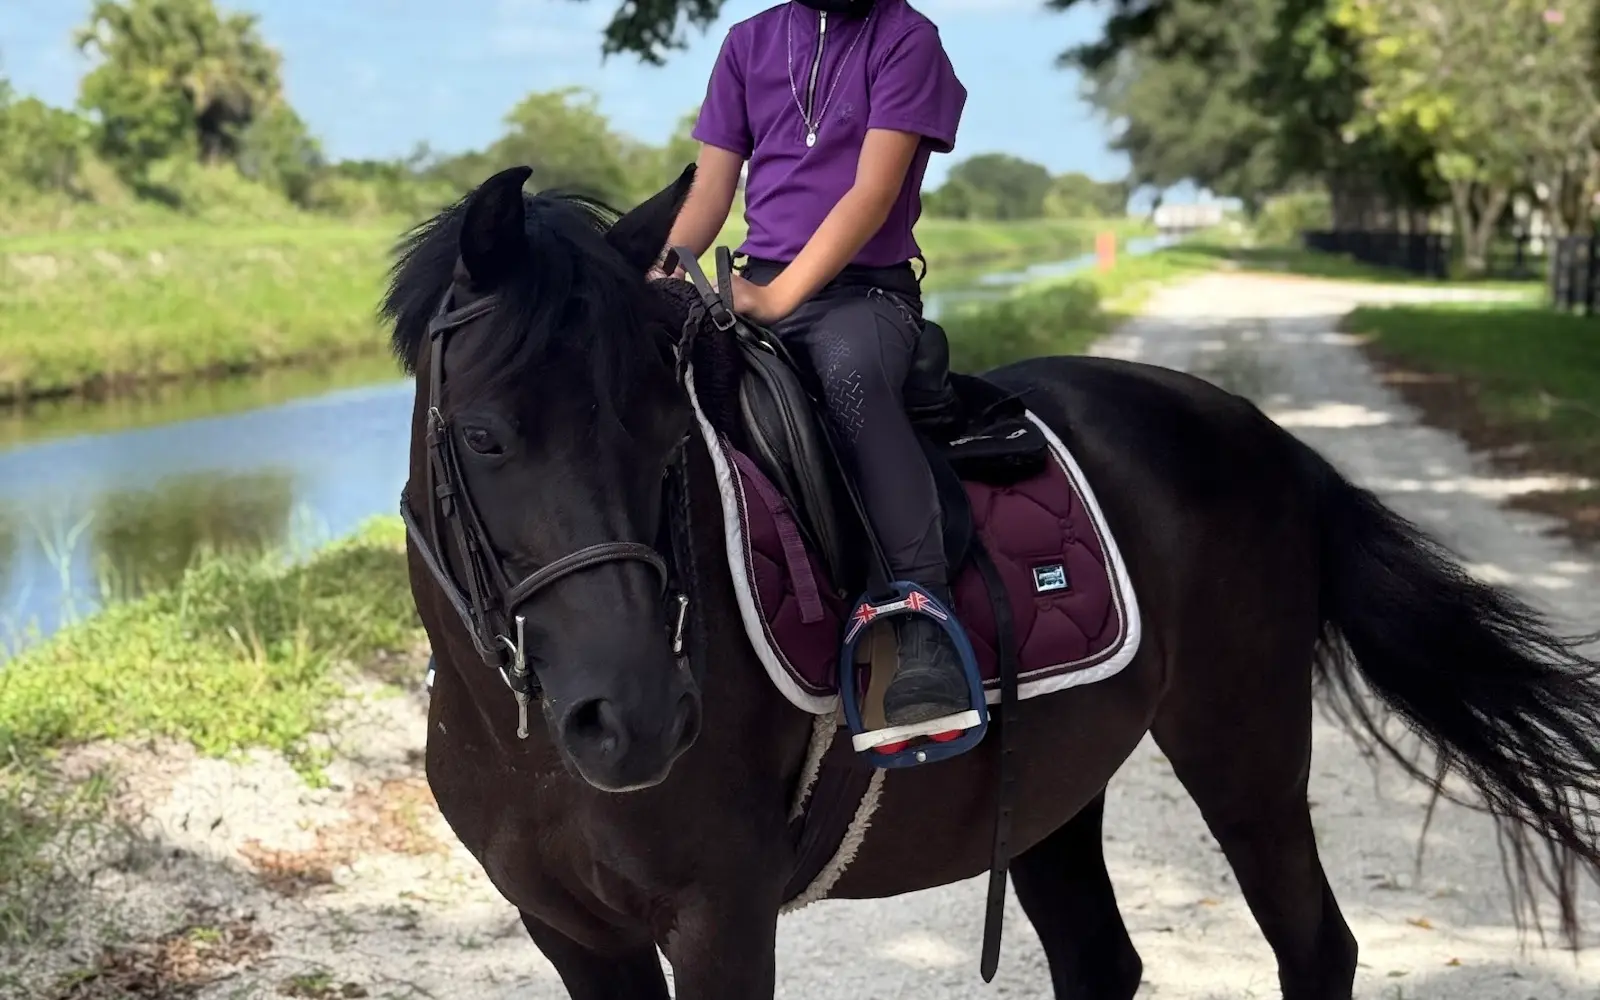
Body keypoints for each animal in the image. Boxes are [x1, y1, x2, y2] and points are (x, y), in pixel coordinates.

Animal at [382, 162, 1600, 1000]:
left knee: (1316, 944)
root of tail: (1262, 435)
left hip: (1244, 751)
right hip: (1059, 783)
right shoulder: (575, 933)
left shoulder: (719, 918)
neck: (527, 742)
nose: (634, 718)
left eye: (665, 427)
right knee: (1104, 961)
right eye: (485, 436)